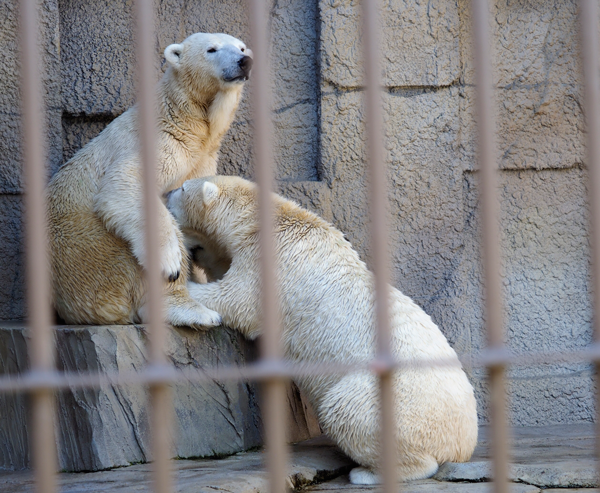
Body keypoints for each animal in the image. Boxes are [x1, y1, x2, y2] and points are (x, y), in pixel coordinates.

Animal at [47, 31, 251, 326]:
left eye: (242, 48)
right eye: (211, 49)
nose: (244, 62)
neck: (184, 115)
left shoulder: (203, 156)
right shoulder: (164, 140)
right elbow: (127, 182)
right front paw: (170, 262)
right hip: (93, 248)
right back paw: (193, 309)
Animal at [166, 175, 480, 482]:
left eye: (182, 188)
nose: (166, 193)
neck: (271, 221)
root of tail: (461, 444)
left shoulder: (273, 263)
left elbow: (236, 300)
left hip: (390, 400)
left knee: (348, 412)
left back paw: (368, 473)